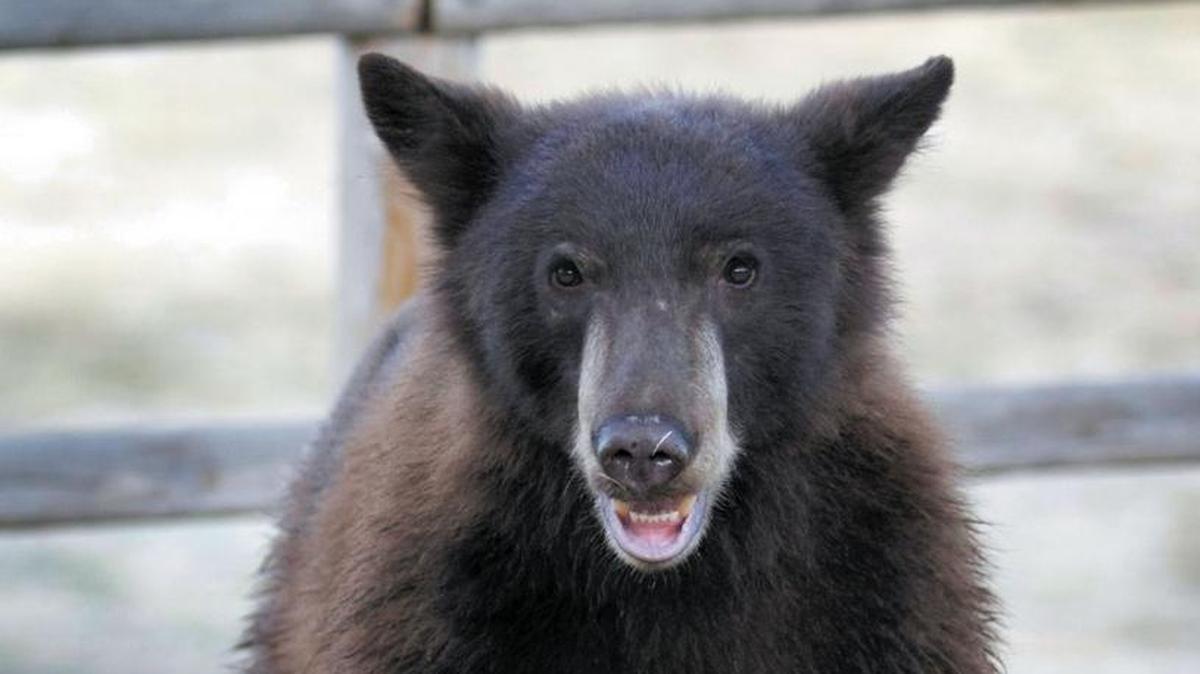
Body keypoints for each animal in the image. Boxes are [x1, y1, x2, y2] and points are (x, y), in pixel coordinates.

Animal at [241, 54, 999, 673]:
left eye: (741, 268)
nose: (642, 450)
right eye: (566, 272)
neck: (669, 587)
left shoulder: (888, 596)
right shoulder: (430, 612)